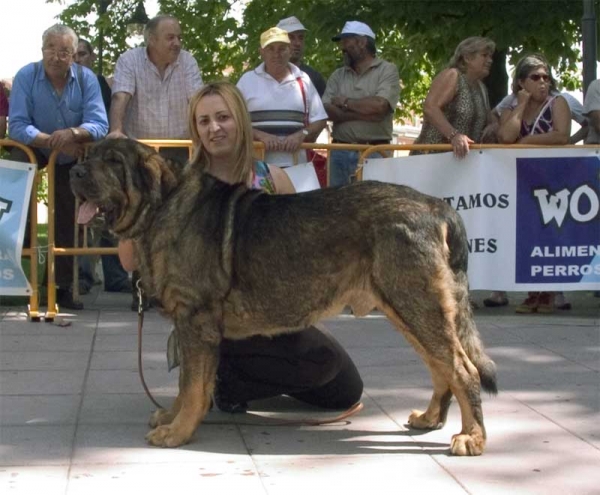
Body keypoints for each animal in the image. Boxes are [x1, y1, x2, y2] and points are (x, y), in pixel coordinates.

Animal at [70, 140, 496, 458]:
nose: (75, 171)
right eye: (91, 154)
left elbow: (192, 385)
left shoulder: (196, 322)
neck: (163, 207)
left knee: (463, 369)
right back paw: (431, 419)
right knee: (442, 368)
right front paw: (172, 417)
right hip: (408, 309)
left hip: (415, 304)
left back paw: (472, 437)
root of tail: (437, 205)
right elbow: (185, 383)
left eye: (113, 162)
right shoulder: (195, 328)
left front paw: (178, 431)